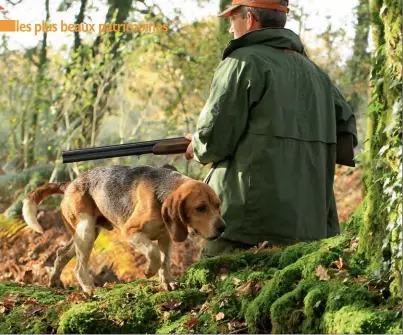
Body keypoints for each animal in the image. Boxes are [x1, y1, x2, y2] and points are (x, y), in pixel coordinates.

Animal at [22, 165, 226, 294]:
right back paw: (88, 288)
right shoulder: (131, 232)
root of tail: (69, 184)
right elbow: (153, 254)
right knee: (79, 267)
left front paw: (167, 281)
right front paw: (149, 271)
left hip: (86, 233)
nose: (223, 228)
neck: (161, 194)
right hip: (86, 231)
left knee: (61, 253)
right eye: (200, 208)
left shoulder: (166, 238)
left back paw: (55, 281)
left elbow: (165, 260)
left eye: (218, 205)